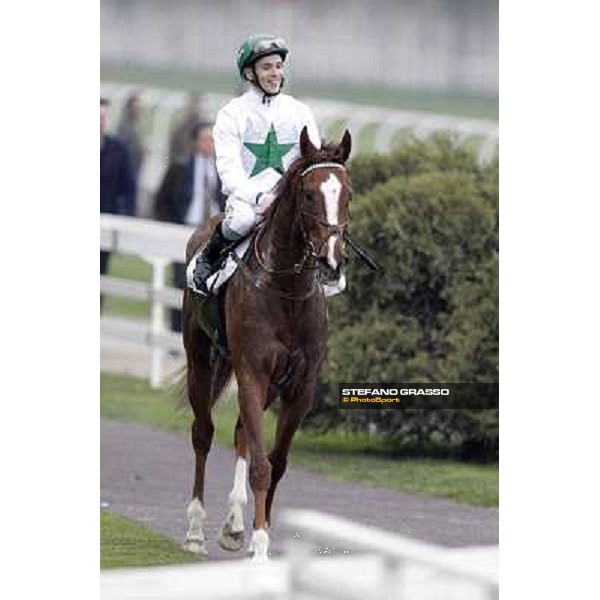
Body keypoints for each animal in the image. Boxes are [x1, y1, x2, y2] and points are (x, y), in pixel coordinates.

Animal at [182, 126, 352, 564]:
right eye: (308, 194)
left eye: (348, 193)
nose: (332, 261)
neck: (285, 291)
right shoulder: (252, 373)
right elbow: (260, 464)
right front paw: (259, 547)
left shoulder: (299, 387)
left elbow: (277, 462)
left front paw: (257, 532)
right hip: (200, 359)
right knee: (203, 433)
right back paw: (195, 531)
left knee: (241, 432)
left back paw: (232, 526)